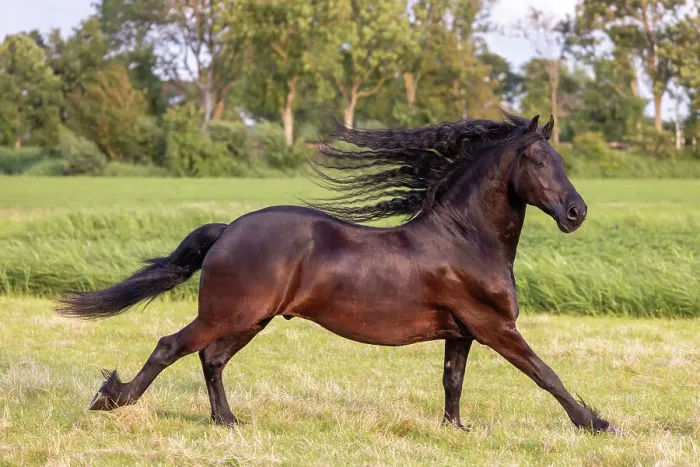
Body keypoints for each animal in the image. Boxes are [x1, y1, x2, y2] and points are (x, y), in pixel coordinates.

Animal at [57, 112, 619, 434]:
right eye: (538, 160)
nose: (577, 213)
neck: (466, 239)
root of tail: (229, 229)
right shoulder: (495, 327)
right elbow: (546, 375)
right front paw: (596, 423)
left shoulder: (461, 333)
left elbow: (452, 381)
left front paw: (455, 429)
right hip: (227, 314)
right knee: (171, 346)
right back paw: (112, 400)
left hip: (250, 319)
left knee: (211, 359)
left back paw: (227, 421)